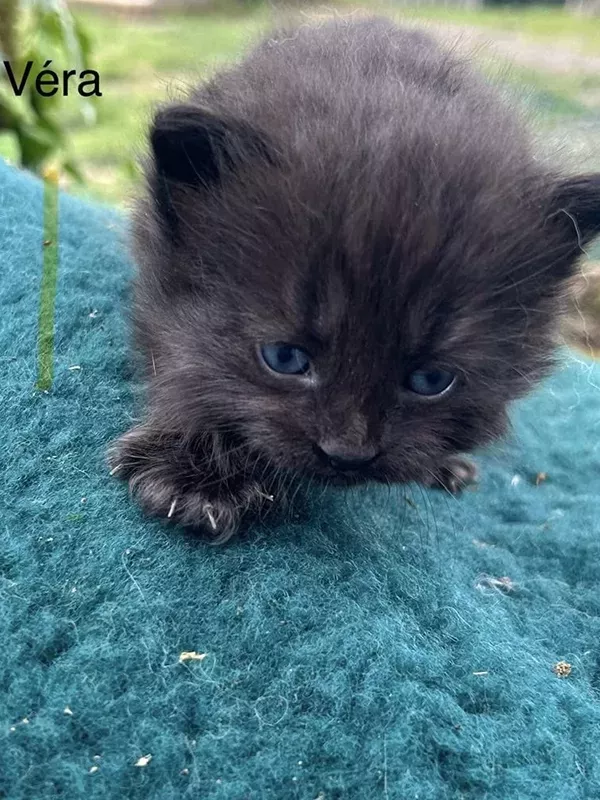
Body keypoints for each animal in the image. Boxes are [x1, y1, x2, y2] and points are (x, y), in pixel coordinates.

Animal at [108, 17, 600, 544]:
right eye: (284, 358)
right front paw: (195, 472)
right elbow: (182, 366)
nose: (347, 454)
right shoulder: (162, 288)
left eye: (432, 380)